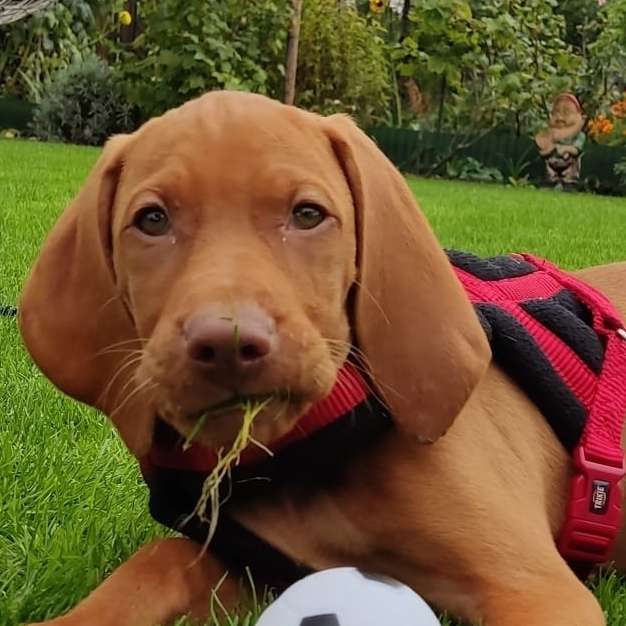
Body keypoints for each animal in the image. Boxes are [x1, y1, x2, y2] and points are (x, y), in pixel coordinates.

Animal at [17, 91, 620, 624]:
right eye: (151, 220)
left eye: (307, 214)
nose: (227, 344)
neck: (306, 459)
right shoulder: (258, 565)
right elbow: (156, 562)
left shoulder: (535, 589)